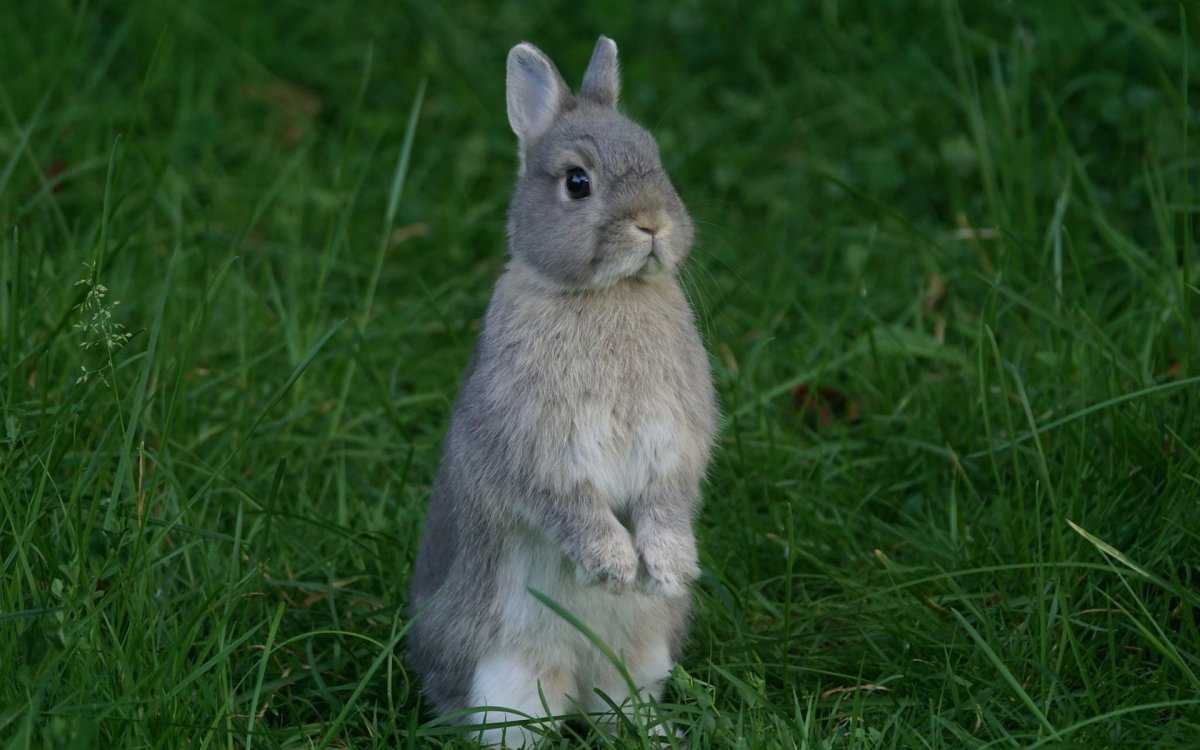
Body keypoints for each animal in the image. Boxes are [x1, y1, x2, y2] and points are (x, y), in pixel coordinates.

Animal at [408, 35, 717, 747]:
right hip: (507, 678)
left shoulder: (674, 442)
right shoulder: (537, 447)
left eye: (656, 159)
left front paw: (667, 567)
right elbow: (569, 504)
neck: (607, 295)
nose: (653, 225)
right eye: (578, 182)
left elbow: (667, 498)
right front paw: (615, 566)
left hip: (639, 661)